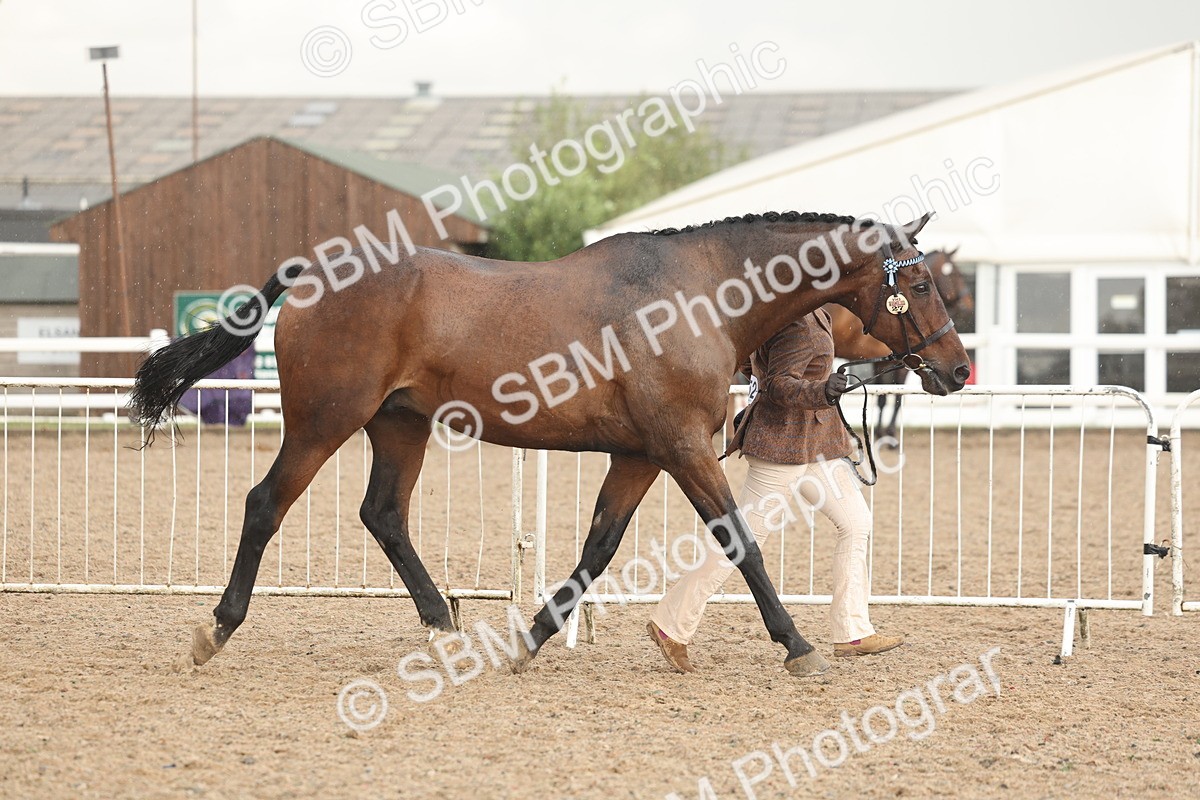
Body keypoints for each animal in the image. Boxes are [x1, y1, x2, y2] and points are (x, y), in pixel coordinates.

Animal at [130, 210, 970, 678]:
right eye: (922, 284)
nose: (958, 369)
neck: (700, 296)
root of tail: (318, 271)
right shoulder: (682, 449)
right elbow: (741, 543)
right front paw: (797, 646)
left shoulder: (640, 455)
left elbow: (598, 548)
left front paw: (532, 640)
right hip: (321, 421)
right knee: (266, 504)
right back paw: (215, 629)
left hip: (400, 424)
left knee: (384, 515)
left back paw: (445, 631)